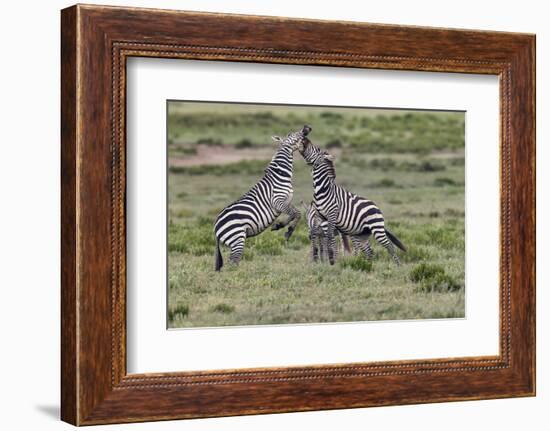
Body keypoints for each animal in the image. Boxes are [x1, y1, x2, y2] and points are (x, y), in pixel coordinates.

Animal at [213, 125, 312, 272]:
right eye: (292, 134)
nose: (307, 127)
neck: (280, 174)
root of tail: (216, 227)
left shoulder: (287, 201)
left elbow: (294, 213)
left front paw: (280, 226)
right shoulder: (277, 201)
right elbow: (297, 213)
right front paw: (287, 231)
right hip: (237, 238)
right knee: (233, 262)